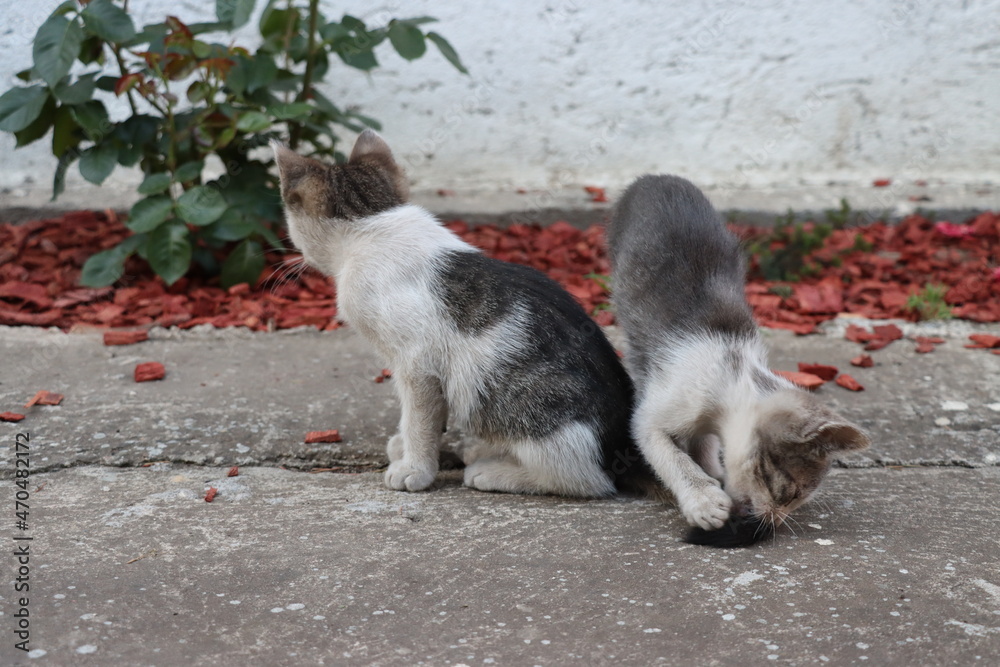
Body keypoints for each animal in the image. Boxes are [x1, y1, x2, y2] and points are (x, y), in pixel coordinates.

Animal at [272, 129, 640, 496]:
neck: (372, 223)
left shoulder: (416, 363)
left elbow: (418, 417)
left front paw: (415, 468)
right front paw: (409, 447)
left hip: (535, 408)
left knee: (583, 480)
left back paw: (495, 472)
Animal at [604, 175, 872, 540]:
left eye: (794, 501)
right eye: (788, 493)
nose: (770, 523)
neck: (736, 369)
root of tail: (655, 178)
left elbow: (704, 440)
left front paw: (710, 468)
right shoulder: (657, 414)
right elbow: (669, 454)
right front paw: (703, 499)